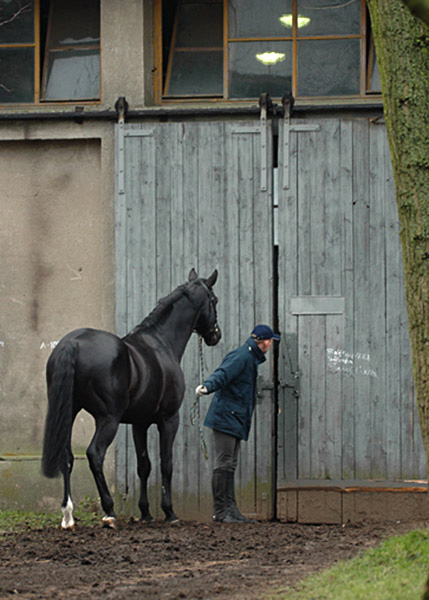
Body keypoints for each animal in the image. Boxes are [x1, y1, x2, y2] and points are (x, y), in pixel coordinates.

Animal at [41, 270, 221, 528]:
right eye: (214, 300)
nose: (216, 335)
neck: (161, 343)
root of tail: (72, 343)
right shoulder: (169, 419)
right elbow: (166, 464)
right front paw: (169, 512)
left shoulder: (139, 423)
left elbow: (143, 466)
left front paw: (145, 512)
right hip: (108, 419)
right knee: (95, 454)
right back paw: (109, 512)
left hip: (70, 413)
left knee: (66, 457)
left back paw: (68, 515)